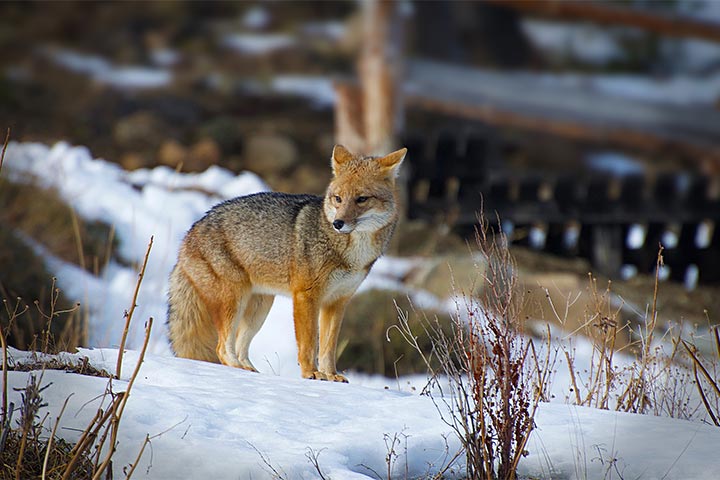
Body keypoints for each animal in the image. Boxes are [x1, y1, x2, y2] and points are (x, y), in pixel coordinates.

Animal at [165, 144, 408, 380]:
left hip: (259, 309)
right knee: (222, 349)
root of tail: (191, 230)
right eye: (338, 199)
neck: (352, 253)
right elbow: (309, 344)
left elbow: (328, 348)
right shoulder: (305, 296)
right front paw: (311, 373)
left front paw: (331, 375)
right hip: (234, 302)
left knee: (239, 349)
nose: (338, 223)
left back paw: (252, 373)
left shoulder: (337, 302)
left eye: (361, 199)